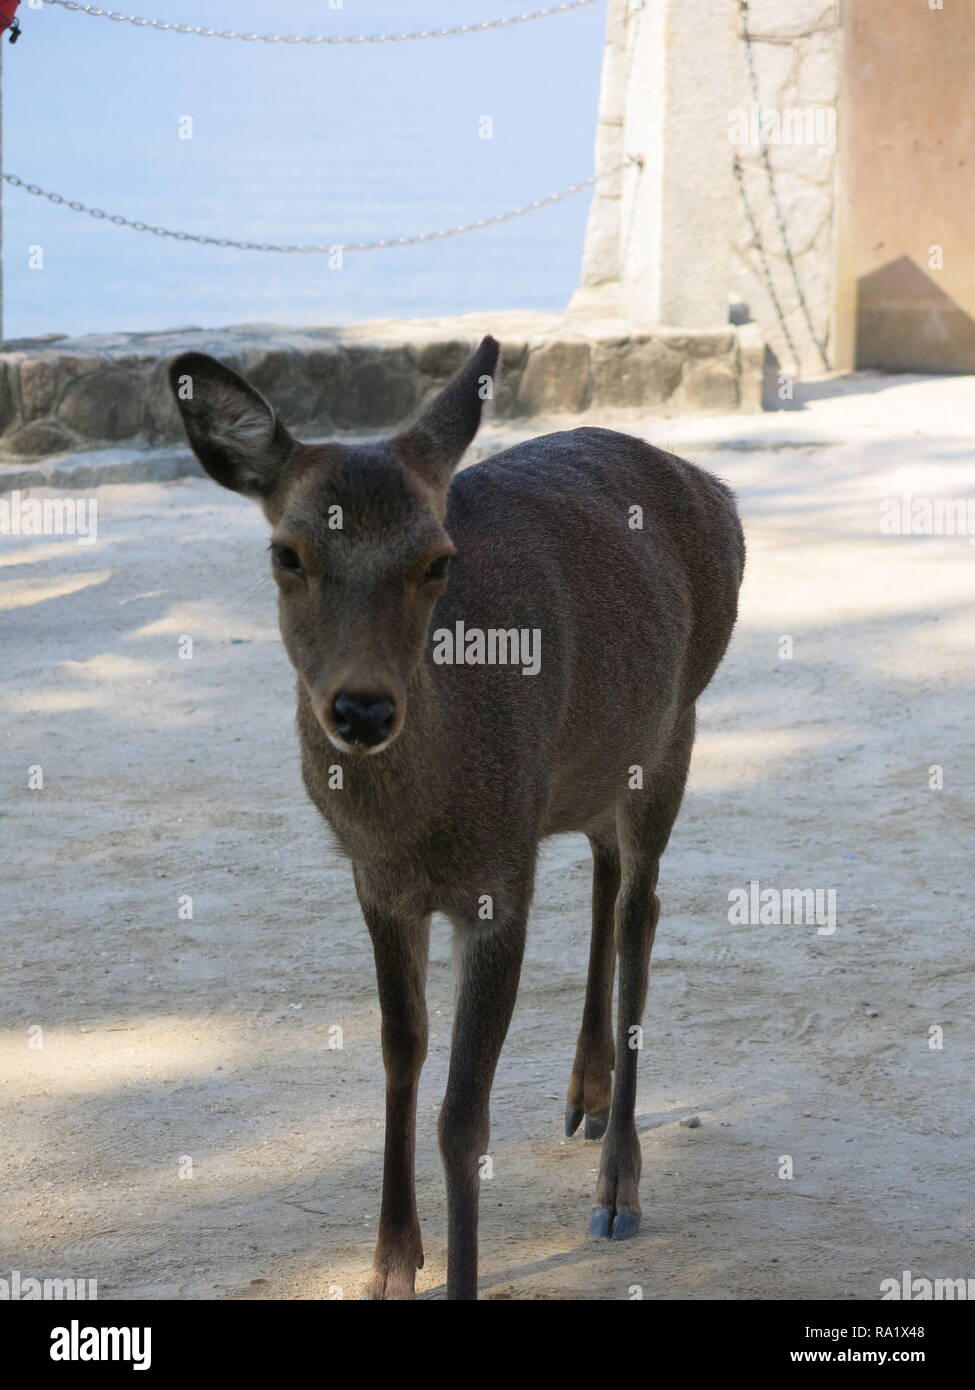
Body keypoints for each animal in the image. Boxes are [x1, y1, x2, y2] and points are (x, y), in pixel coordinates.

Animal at [168, 336, 745, 1301]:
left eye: (438, 560)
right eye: (286, 554)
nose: (361, 708)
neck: (421, 827)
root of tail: (712, 488)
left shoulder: (495, 883)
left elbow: (462, 1118)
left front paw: (453, 1273)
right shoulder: (378, 885)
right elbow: (400, 1052)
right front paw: (389, 1264)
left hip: (675, 729)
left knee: (641, 915)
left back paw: (616, 1185)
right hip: (587, 763)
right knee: (604, 871)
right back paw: (584, 1095)